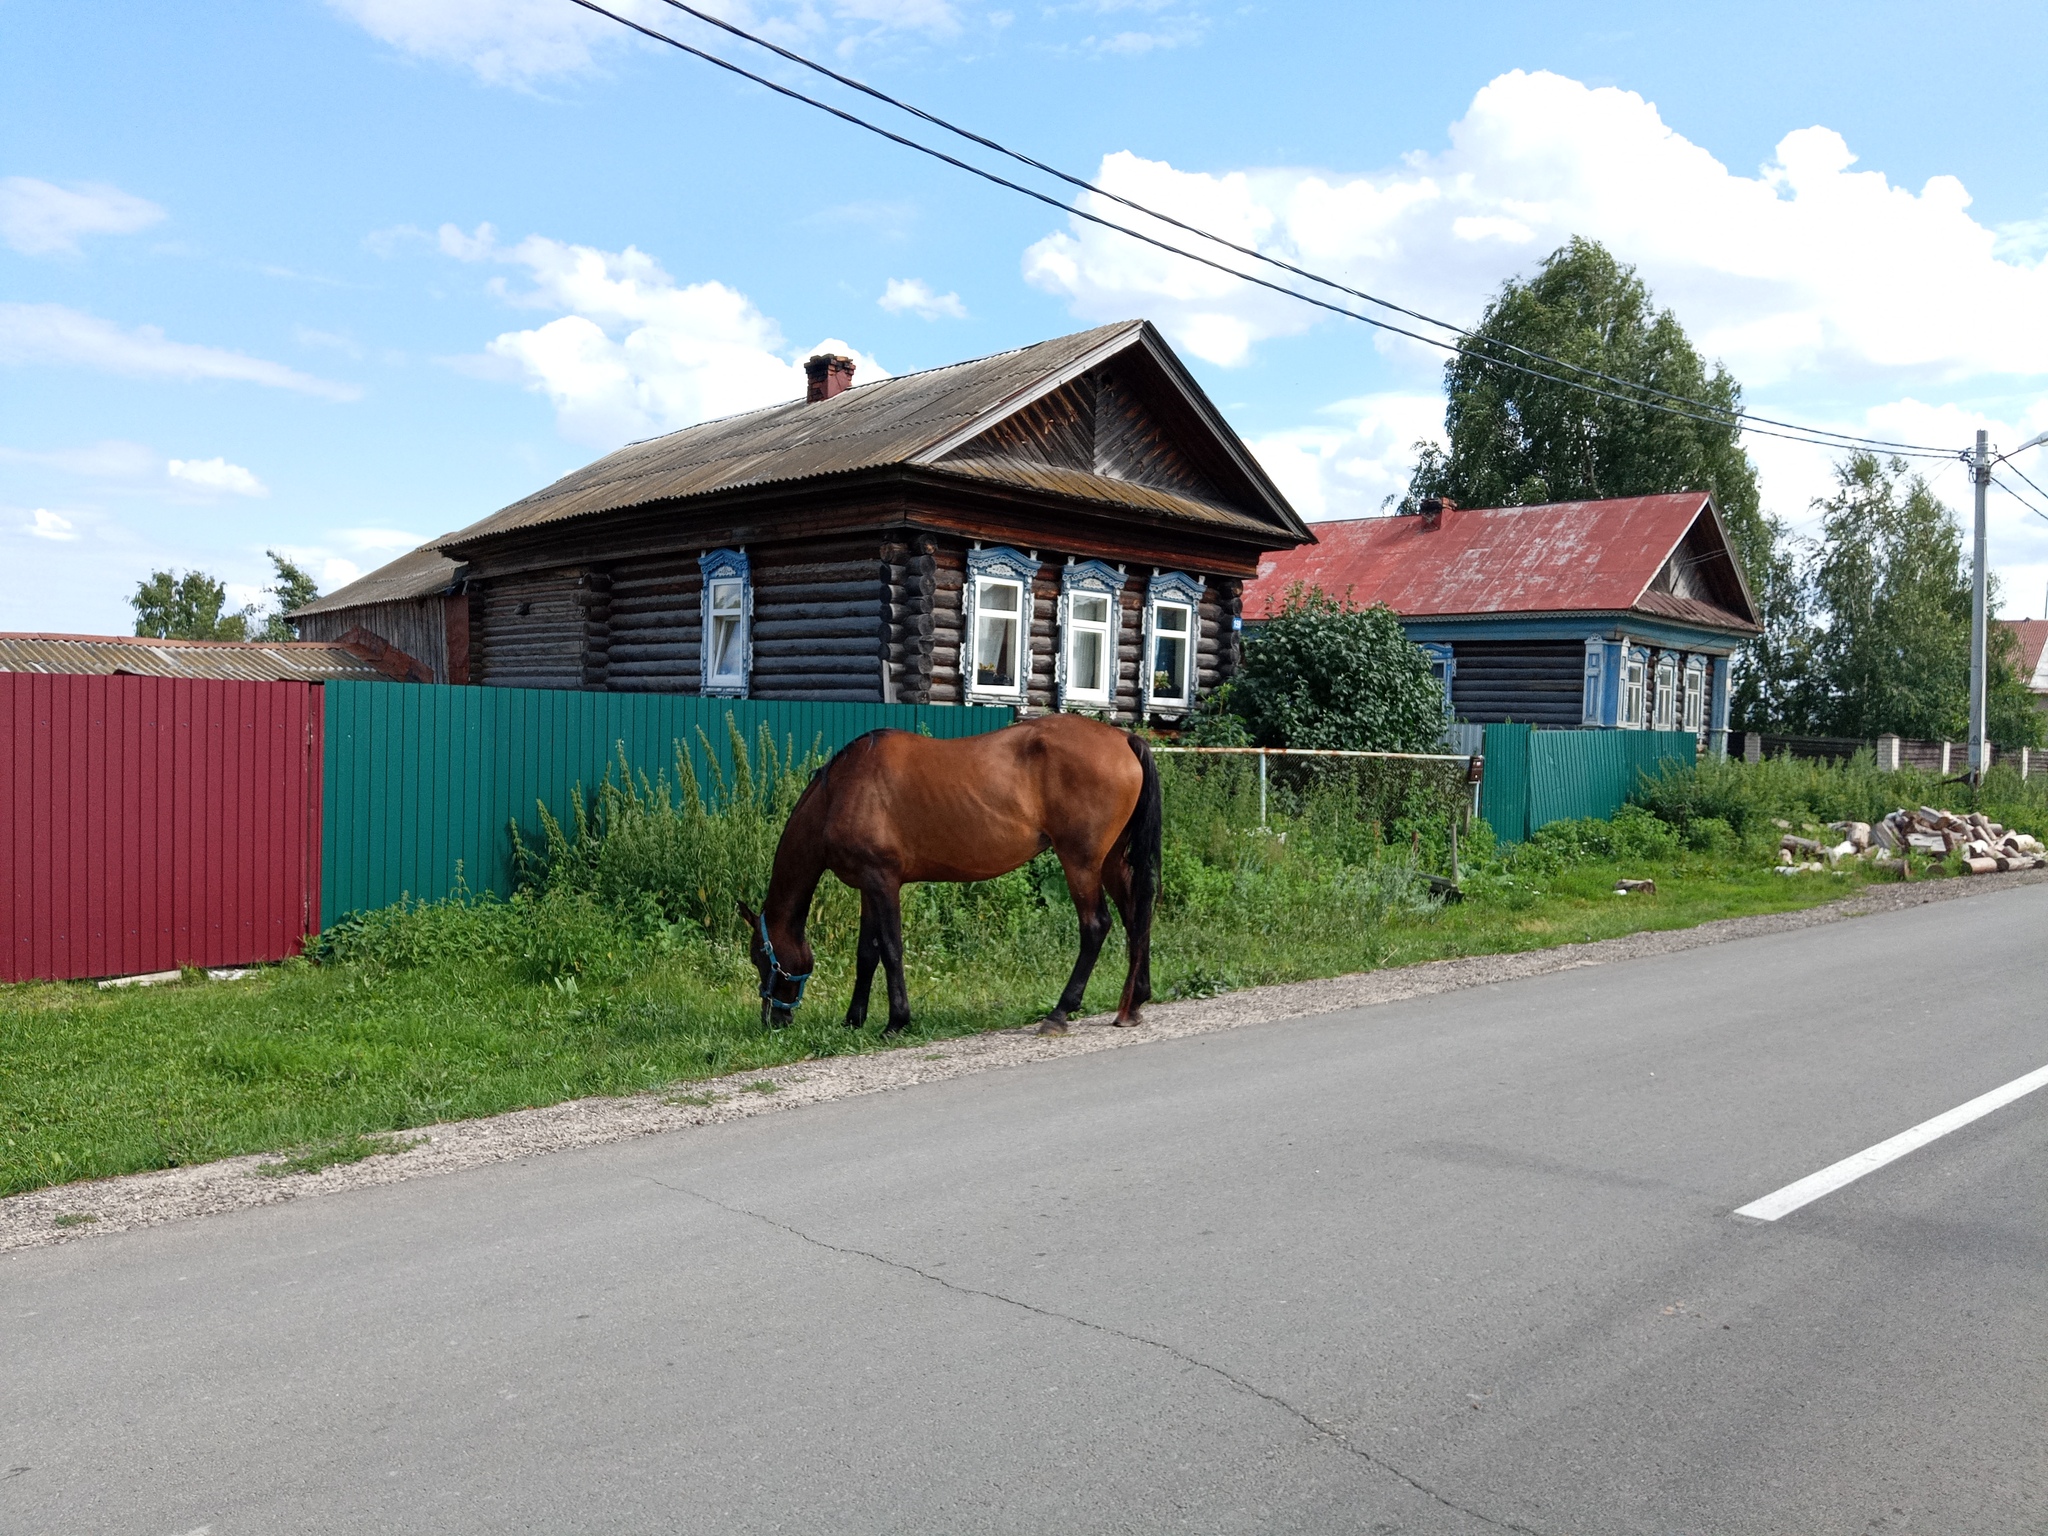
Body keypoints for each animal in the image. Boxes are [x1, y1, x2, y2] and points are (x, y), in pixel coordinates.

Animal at [737, 716, 1163, 1040]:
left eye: (760, 956)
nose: (774, 1019)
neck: (841, 791)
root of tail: (1123, 739)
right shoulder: (867, 887)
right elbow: (866, 954)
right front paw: (853, 1020)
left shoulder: (882, 881)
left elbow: (890, 950)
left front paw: (896, 1022)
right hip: (1110, 860)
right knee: (1136, 915)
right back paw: (1133, 1003)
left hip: (1081, 861)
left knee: (1096, 925)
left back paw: (1060, 1012)